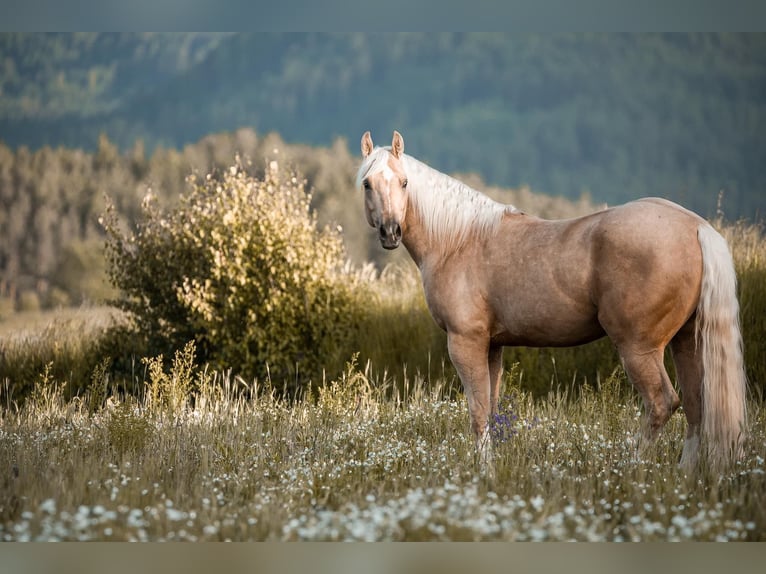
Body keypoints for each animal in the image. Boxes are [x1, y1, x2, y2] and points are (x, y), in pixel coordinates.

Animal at [360, 130, 752, 472]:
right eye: (368, 183)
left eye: (405, 183)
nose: (391, 232)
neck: (458, 240)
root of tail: (696, 227)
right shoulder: (492, 346)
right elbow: (491, 411)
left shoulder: (464, 342)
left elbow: (477, 414)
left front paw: (484, 473)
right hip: (687, 341)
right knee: (696, 406)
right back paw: (684, 475)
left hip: (639, 348)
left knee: (662, 403)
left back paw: (631, 470)